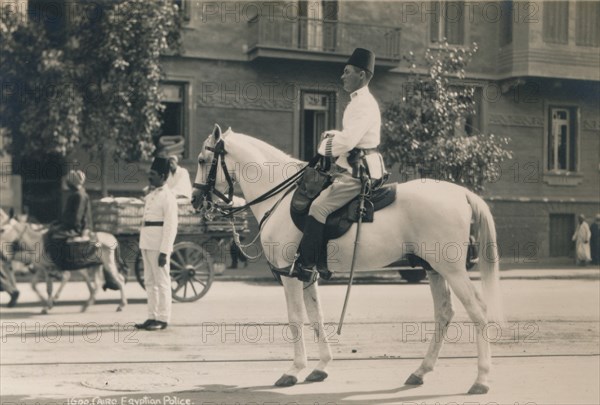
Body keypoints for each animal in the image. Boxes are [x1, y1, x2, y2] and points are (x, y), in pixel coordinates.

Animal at [192, 124, 502, 392]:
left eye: (202, 159)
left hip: (452, 270)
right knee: (444, 313)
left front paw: (294, 370)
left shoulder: (289, 276)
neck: (279, 196)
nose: (196, 201)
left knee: (478, 311)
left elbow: (295, 318)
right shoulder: (307, 275)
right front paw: (321, 366)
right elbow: (316, 317)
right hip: (435, 269)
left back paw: (482, 379)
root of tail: (461, 193)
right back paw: (421, 371)